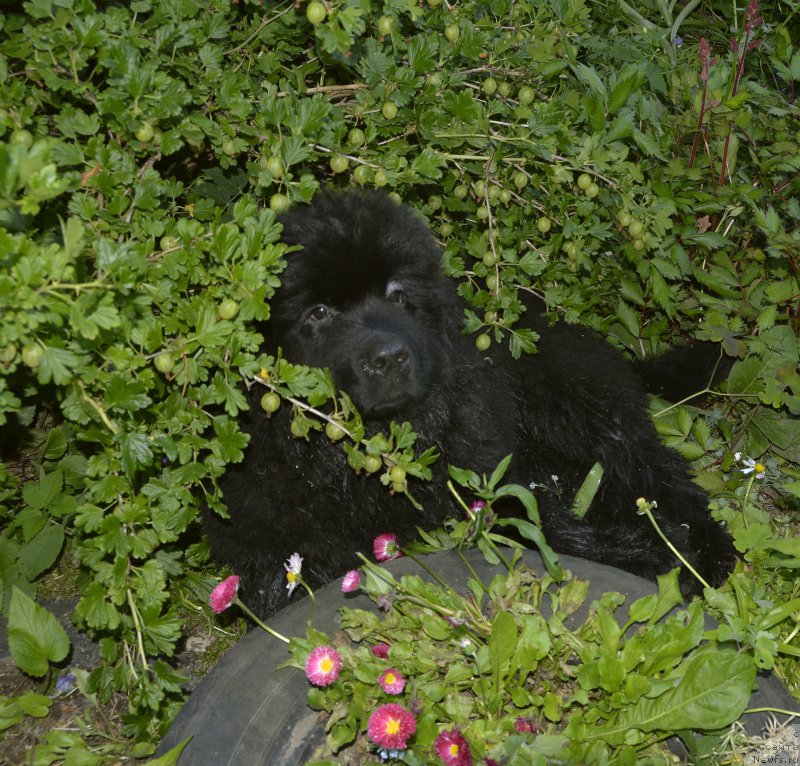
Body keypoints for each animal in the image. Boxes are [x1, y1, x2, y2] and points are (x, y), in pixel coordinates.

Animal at [208, 190, 736, 616]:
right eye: (318, 313)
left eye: (398, 296)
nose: (390, 357)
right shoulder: (269, 534)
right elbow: (296, 570)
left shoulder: (487, 472)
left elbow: (535, 526)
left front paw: (647, 557)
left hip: (576, 407)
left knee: (656, 471)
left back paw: (707, 550)